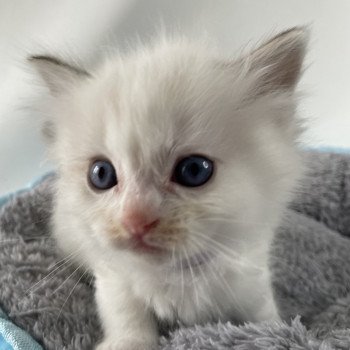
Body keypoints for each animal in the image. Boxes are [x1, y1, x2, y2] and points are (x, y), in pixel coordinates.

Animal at [31, 27, 308, 350]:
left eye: (194, 170)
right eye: (101, 175)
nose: (135, 220)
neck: (178, 274)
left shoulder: (252, 279)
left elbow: (265, 321)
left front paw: (280, 333)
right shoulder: (113, 277)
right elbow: (126, 313)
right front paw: (127, 342)